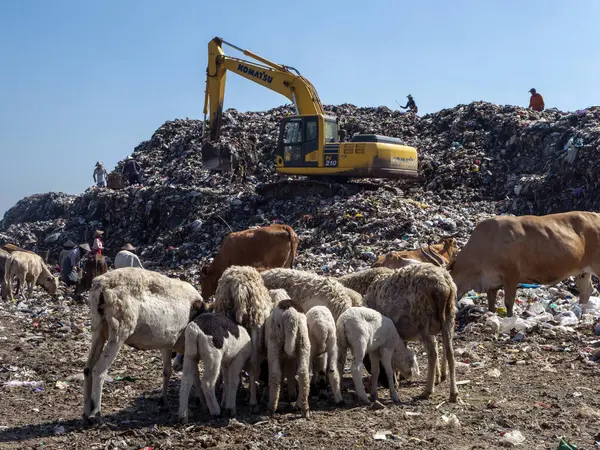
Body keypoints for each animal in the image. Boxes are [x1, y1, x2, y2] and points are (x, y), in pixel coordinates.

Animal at [82, 268, 205, 422]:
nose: (178, 365)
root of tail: (102, 286)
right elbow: (195, 372)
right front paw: (201, 399)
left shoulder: (167, 343)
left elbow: (167, 371)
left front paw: (163, 402)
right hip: (119, 329)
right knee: (99, 369)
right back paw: (95, 413)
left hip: (98, 328)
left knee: (88, 368)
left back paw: (86, 411)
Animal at [212, 266, 274, 414]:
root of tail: (239, 286)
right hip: (255, 325)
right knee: (253, 366)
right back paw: (253, 402)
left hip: (226, 320)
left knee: (225, 366)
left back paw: (225, 401)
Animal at [360, 264, 460, 400]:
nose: (385, 384)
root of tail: (442, 286)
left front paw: (395, 381)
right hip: (449, 318)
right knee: (450, 352)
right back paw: (453, 393)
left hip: (422, 321)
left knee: (432, 354)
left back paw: (427, 391)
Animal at [448, 211, 600, 316]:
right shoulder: (492, 282)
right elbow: (491, 302)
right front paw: (492, 314)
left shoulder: (510, 273)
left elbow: (509, 301)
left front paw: (510, 318)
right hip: (582, 271)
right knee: (586, 291)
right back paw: (580, 310)